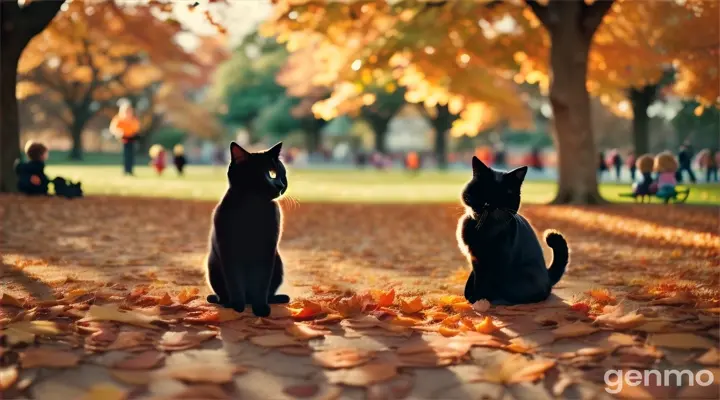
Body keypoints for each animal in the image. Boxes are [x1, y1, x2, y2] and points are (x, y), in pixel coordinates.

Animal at [205, 142, 290, 318]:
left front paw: (261, 309)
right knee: (222, 294)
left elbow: (261, 283)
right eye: (271, 174)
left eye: (282, 174)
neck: (252, 207)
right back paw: (225, 302)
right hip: (212, 265)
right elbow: (235, 282)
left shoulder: (267, 251)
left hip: (278, 264)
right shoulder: (228, 251)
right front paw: (237, 306)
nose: (281, 185)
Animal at [458, 156, 572, 304]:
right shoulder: (475, 259)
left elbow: (486, 282)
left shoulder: (498, 261)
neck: (487, 229)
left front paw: (480, 300)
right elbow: (476, 279)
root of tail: (548, 276)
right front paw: (474, 297)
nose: (492, 204)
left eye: (506, 194)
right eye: (485, 189)